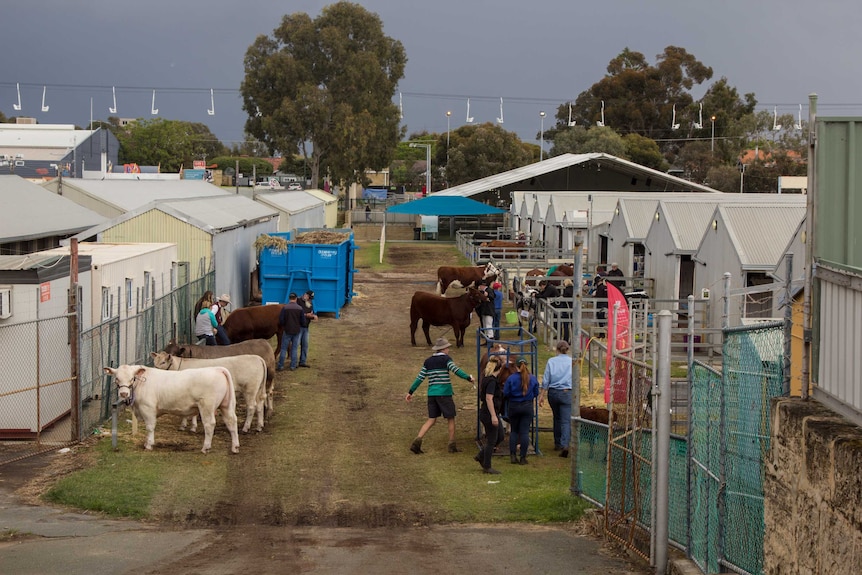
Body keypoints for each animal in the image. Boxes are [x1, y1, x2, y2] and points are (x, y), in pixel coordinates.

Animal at [109, 364, 243, 454]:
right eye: (117, 378)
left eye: (132, 378)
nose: (124, 394)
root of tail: (217, 368)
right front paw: (147, 442)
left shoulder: (148, 408)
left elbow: (150, 427)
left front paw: (149, 445)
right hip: (227, 405)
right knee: (231, 422)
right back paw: (235, 447)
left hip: (207, 406)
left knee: (209, 424)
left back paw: (206, 448)